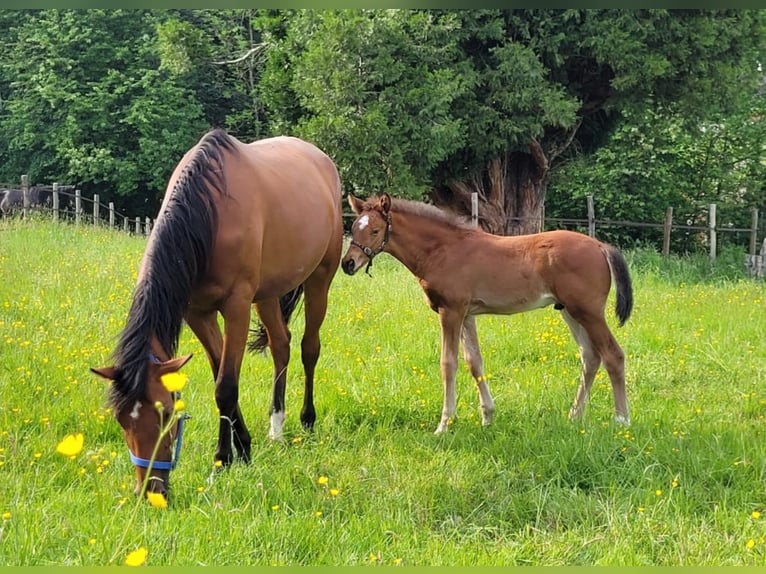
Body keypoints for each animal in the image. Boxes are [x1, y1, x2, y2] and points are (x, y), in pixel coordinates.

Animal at [88, 129, 344, 500]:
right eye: (122, 419)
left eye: (167, 414)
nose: (150, 491)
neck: (208, 217)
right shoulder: (198, 313)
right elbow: (220, 374)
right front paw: (244, 448)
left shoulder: (236, 306)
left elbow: (225, 387)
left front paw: (223, 460)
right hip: (267, 294)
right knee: (281, 345)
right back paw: (276, 427)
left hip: (320, 278)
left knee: (309, 348)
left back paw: (307, 421)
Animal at [344, 196, 636, 434]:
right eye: (354, 227)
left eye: (375, 230)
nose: (348, 264)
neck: (443, 250)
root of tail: (600, 246)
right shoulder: (467, 314)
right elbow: (474, 361)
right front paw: (487, 417)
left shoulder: (451, 311)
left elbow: (448, 363)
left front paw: (445, 424)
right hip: (570, 311)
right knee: (590, 356)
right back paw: (575, 416)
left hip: (589, 312)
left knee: (613, 354)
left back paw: (621, 420)